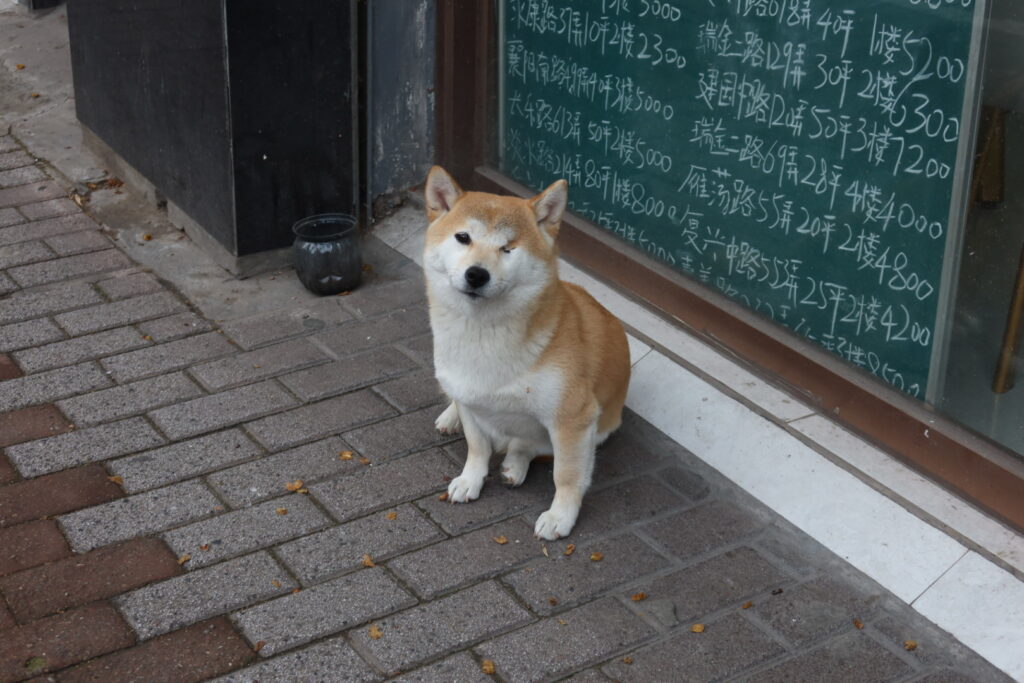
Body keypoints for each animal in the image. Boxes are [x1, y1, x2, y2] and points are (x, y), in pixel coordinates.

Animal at [422, 166, 631, 540]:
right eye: (463, 238)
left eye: (508, 248)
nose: (476, 274)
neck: (483, 338)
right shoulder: (468, 396)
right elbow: (477, 446)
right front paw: (470, 479)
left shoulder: (574, 418)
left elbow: (566, 475)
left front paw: (561, 516)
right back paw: (451, 417)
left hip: (598, 428)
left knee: (530, 446)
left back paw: (515, 462)